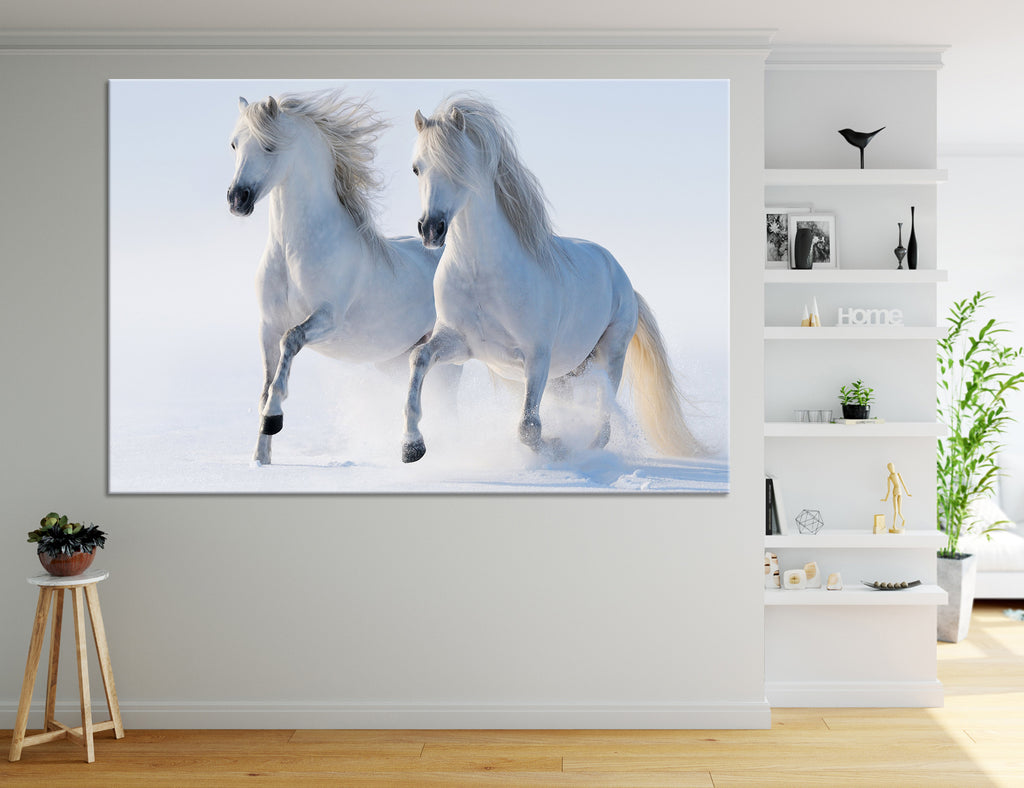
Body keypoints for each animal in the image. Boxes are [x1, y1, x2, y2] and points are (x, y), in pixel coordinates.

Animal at [227, 91, 445, 465]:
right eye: (234, 144)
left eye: (269, 146)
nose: (237, 199)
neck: (292, 251)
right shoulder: (267, 326)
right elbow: (265, 385)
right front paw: (261, 458)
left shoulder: (327, 319)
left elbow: (291, 342)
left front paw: (274, 419)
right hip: (395, 359)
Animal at [400, 94, 699, 463]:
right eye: (417, 167)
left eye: (459, 166)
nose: (431, 229)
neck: (481, 274)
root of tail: (623, 279)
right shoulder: (460, 344)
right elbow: (419, 358)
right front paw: (412, 446)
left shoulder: (537, 357)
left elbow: (529, 427)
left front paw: (556, 447)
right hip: (566, 374)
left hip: (609, 355)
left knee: (603, 417)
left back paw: (586, 450)